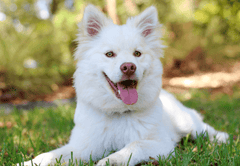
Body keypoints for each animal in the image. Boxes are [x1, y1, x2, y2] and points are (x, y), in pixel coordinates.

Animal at [19, 4, 229, 165]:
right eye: (109, 54)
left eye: (137, 53)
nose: (128, 66)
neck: (119, 113)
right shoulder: (82, 146)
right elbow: (50, 155)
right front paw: (28, 162)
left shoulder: (160, 144)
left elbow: (133, 146)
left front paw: (109, 161)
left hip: (186, 123)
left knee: (204, 128)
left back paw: (222, 138)